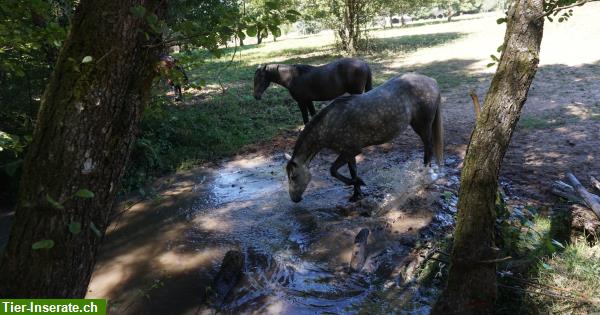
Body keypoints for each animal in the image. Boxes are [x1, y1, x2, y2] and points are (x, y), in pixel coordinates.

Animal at [284, 73, 442, 204]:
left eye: (293, 177)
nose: (294, 199)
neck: (329, 123)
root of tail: (432, 81)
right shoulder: (348, 152)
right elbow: (352, 171)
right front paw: (356, 193)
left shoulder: (352, 150)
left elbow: (333, 170)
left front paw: (360, 183)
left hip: (422, 125)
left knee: (428, 146)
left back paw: (425, 174)